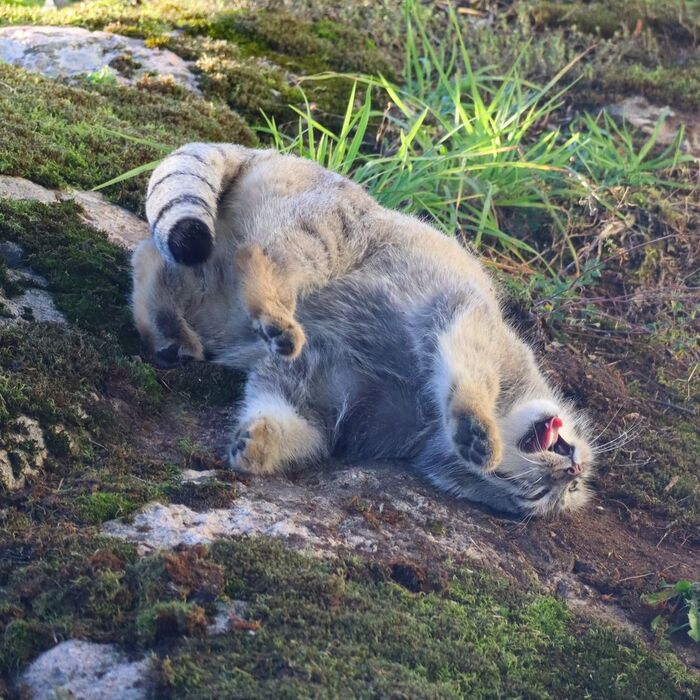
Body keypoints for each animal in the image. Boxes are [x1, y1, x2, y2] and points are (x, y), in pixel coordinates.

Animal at [130, 142, 592, 516]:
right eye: (554, 488)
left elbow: (294, 426)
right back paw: (276, 319)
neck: (426, 418)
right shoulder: (465, 315)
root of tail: (261, 151)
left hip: (217, 302)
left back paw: (168, 333)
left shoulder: (320, 389)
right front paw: (479, 434)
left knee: (151, 257)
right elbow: (471, 376)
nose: (572, 470)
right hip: (331, 234)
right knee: (256, 255)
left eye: (540, 496)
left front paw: (258, 446)